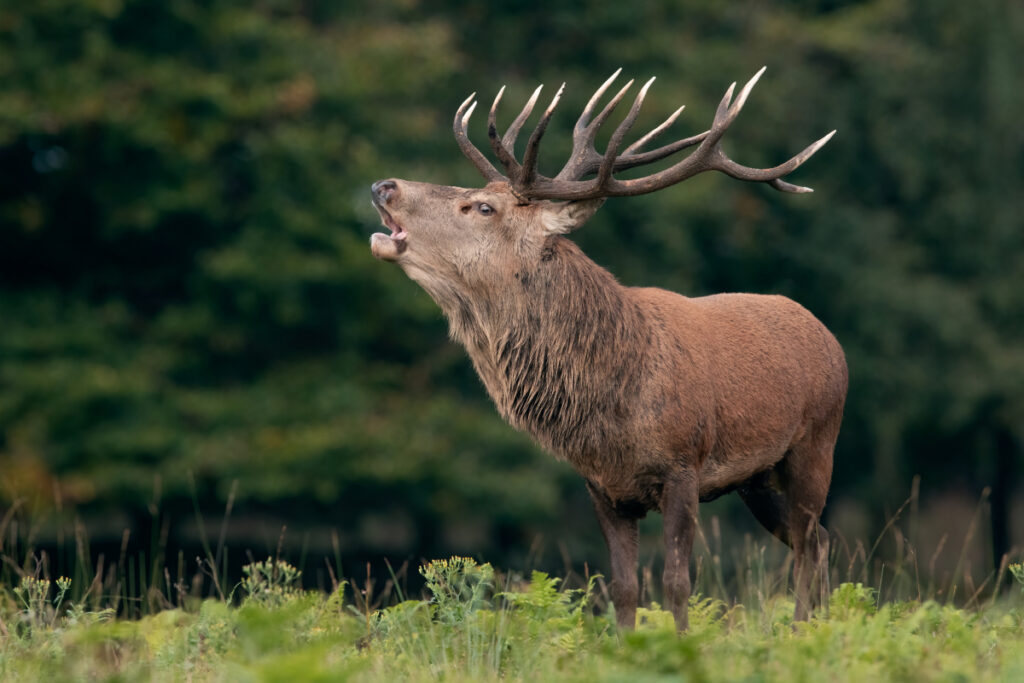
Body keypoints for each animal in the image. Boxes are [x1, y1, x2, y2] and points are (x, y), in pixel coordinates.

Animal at [369, 67, 847, 631]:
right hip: (756, 479)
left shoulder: (684, 467)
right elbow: (623, 588)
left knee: (810, 541)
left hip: (815, 444)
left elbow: (677, 583)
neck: (610, 406)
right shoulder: (603, 488)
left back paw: (804, 630)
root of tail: (827, 335)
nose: (384, 186)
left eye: (483, 207)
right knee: (815, 539)